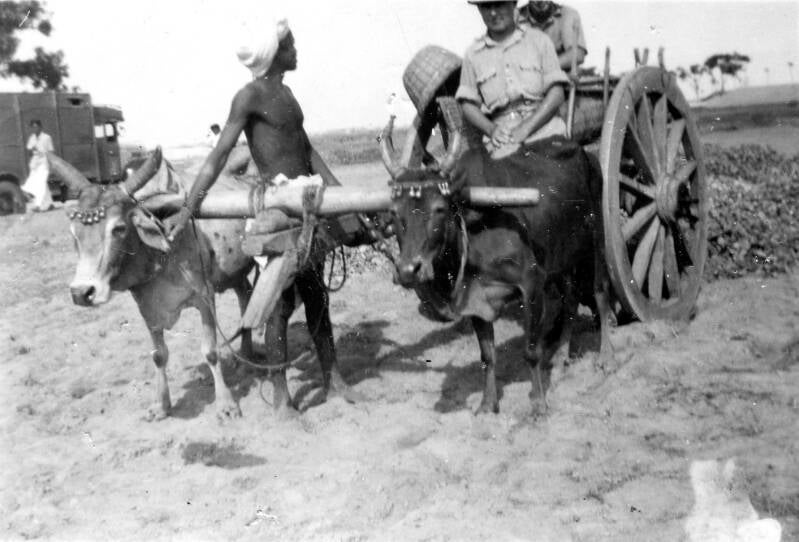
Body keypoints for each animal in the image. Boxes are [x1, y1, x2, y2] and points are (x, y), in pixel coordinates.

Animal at [51, 149, 254, 422]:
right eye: (74, 233)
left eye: (118, 228)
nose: (82, 293)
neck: (162, 253)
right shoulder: (147, 307)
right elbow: (159, 356)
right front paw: (161, 404)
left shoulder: (204, 297)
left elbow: (210, 352)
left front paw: (225, 404)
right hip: (234, 273)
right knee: (246, 295)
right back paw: (245, 354)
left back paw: (247, 358)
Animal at [379, 116, 614, 415]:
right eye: (393, 212)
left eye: (439, 209)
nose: (409, 270)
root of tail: (583, 151)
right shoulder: (475, 299)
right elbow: (487, 356)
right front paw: (487, 403)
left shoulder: (531, 282)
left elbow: (531, 350)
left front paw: (538, 402)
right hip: (561, 257)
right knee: (570, 298)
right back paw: (562, 354)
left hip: (597, 238)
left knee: (600, 292)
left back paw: (606, 356)